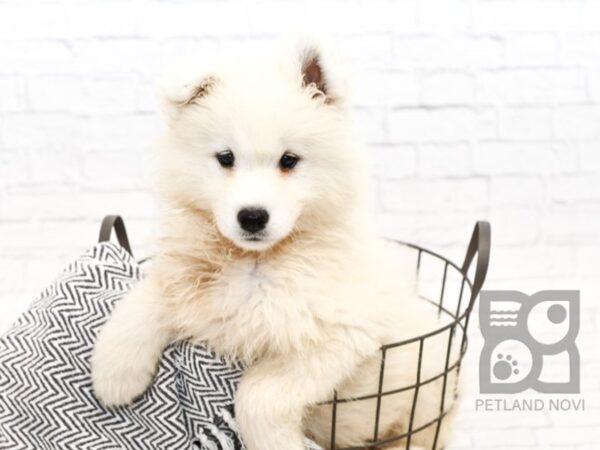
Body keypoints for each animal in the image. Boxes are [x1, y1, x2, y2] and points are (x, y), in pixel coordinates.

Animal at [92, 40, 460, 448]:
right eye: (226, 158)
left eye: (289, 160)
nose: (252, 217)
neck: (258, 261)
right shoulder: (191, 284)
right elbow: (148, 296)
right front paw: (114, 376)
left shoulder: (338, 334)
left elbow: (258, 394)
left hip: (425, 404)